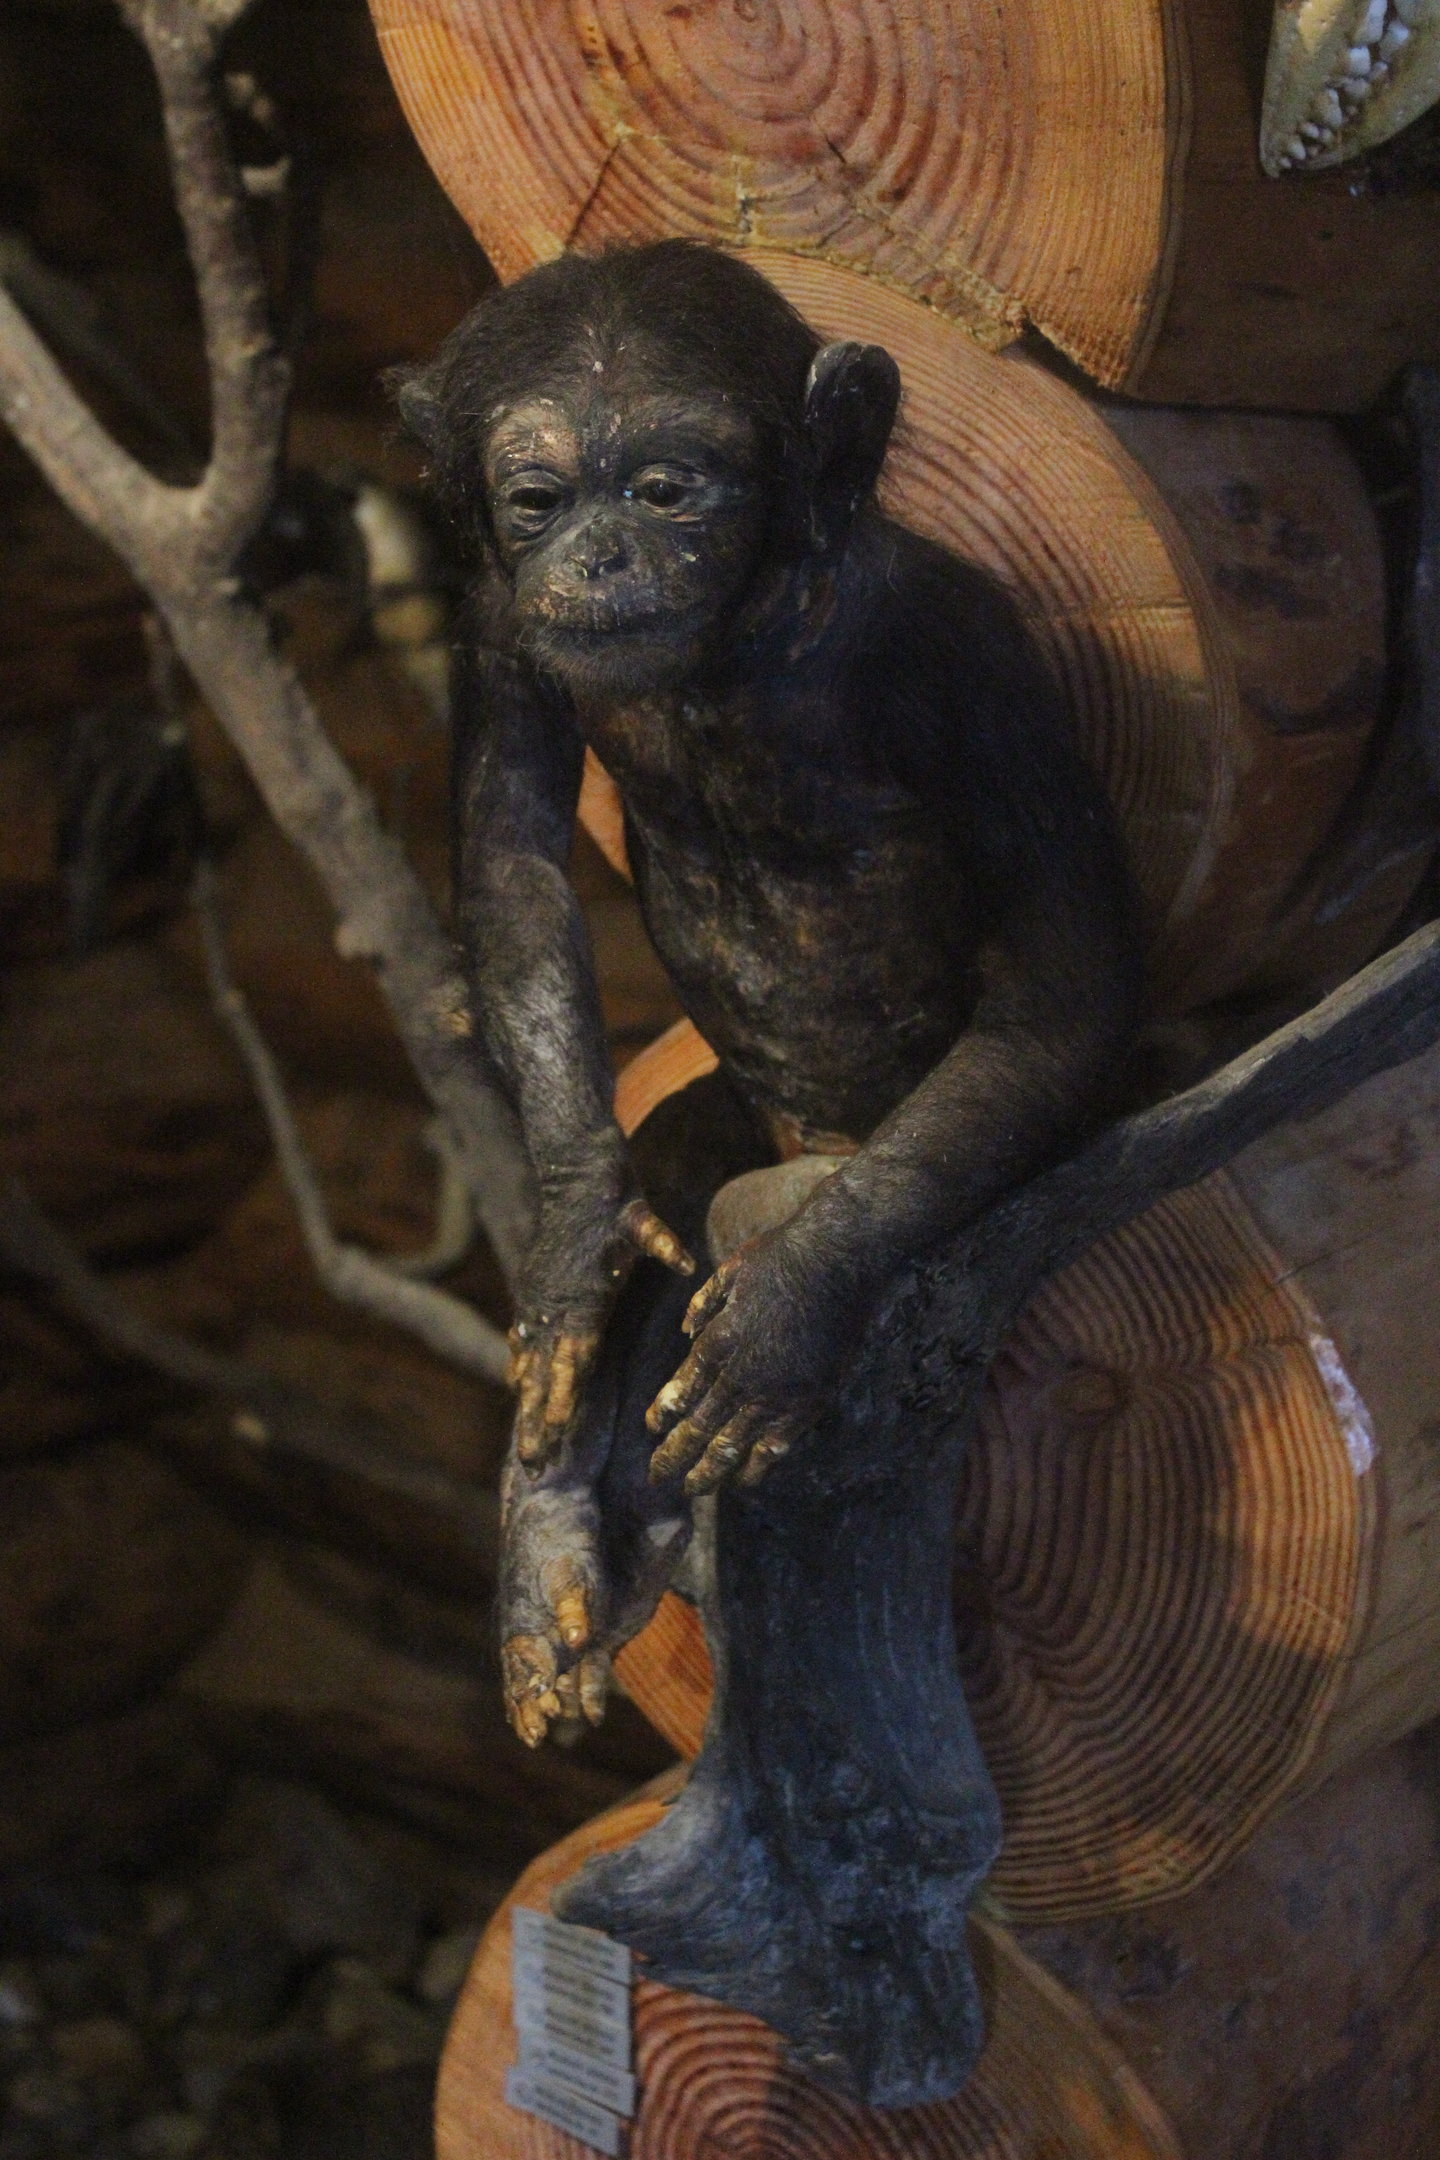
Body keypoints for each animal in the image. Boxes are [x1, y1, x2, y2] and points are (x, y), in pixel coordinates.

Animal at [394, 241, 1144, 1747]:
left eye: (666, 486)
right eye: (539, 500)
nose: (598, 552)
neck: (731, 649)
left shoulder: (966, 653)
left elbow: (1064, 988)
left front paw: (790, 1304)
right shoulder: (503, 619)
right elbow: (513, 851)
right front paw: (575, 1239)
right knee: (689, 1156)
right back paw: (558, 1563)